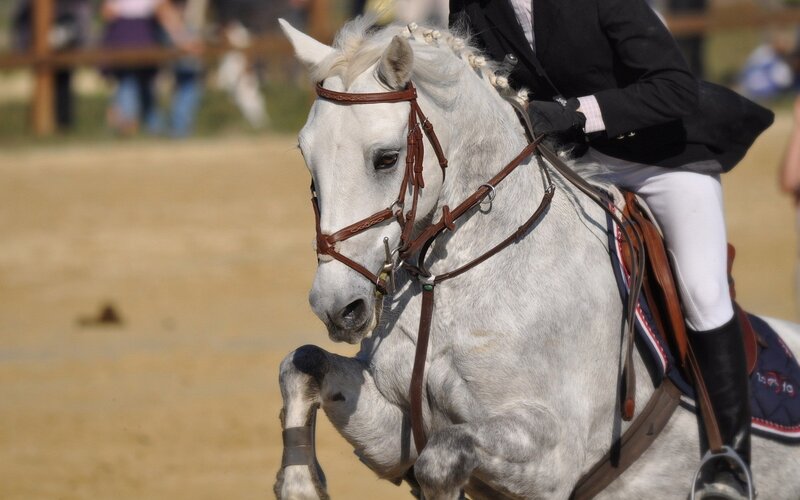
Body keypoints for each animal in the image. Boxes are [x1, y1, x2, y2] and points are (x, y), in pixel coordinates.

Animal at [275, 18, 800, 499]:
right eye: (305, 156)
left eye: (386, 158)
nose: (337, 308)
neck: (450, 282)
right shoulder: (393, 429)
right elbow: (302, 364)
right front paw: (300, 485)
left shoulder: (551, 457)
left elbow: (443, 458)